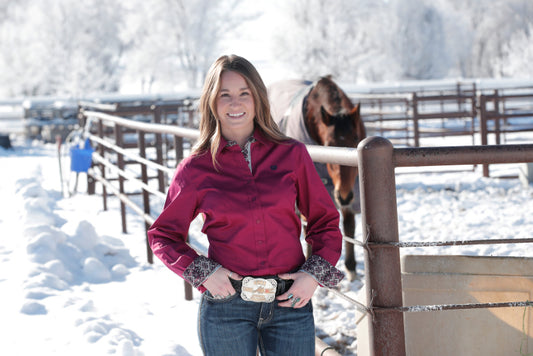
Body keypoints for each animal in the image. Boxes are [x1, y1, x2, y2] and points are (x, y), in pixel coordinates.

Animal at [268, 77, 364, 280]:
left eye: (355, 140)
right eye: (328, 145)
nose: (343, 196)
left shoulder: (350, 192)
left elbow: (349, 226)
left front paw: (351, 269)